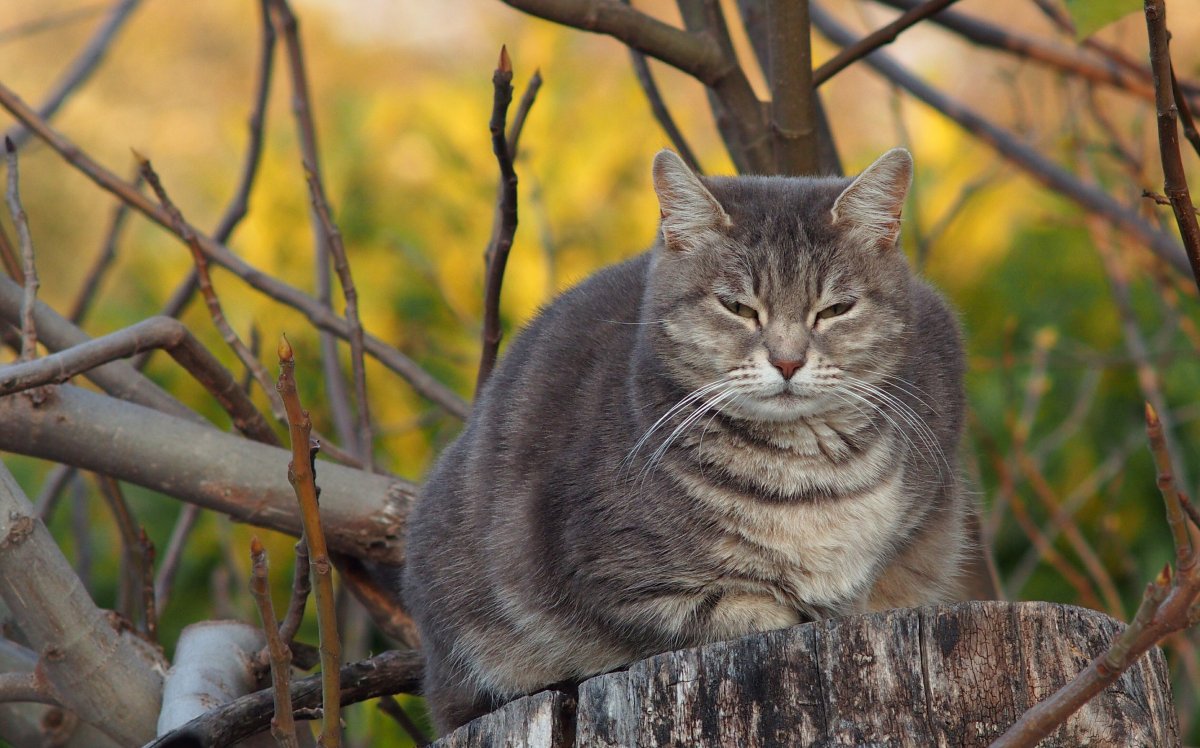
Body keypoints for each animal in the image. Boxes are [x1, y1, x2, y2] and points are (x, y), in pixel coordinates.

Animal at [398, 149, 979, 734]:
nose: (788, 361)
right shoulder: (608, 576)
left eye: (835, 309)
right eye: (737, 307)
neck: (806, 475)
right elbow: (733, 611)